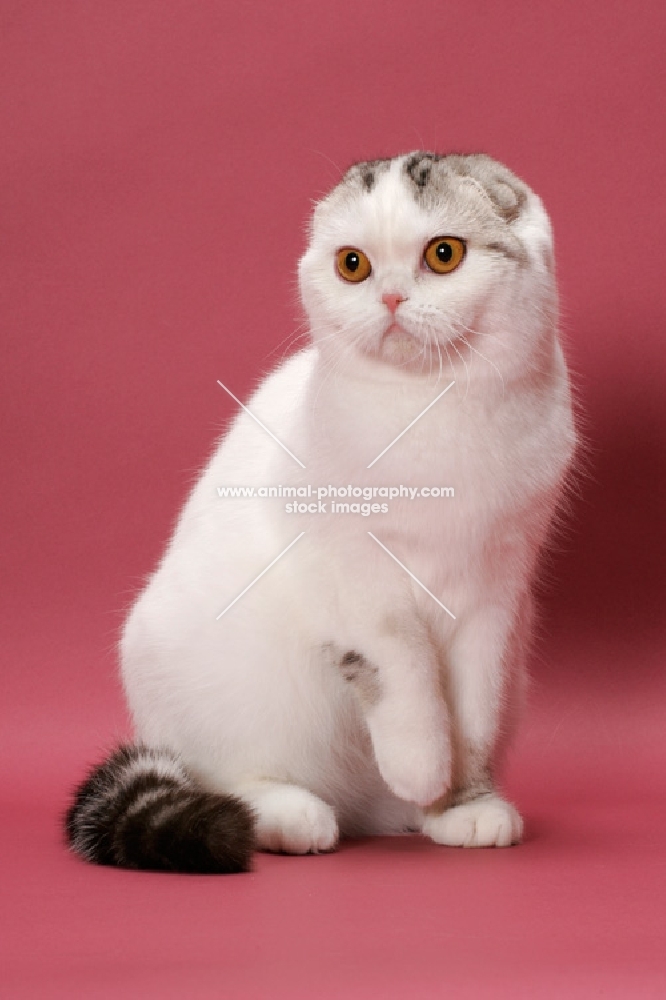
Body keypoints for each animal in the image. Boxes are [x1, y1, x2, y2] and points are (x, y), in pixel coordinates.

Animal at [68, 152, 576, 872]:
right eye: (352, 265)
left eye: (443, 254)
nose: (390, 298)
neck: (432, 410)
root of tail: (361, 809)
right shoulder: (356, 576)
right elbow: (405, 673)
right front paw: (422, 764)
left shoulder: (496, 596)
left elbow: (473, 715)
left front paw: (460, 800)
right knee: (226, 774)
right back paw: (291, 816)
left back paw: (418, 813)